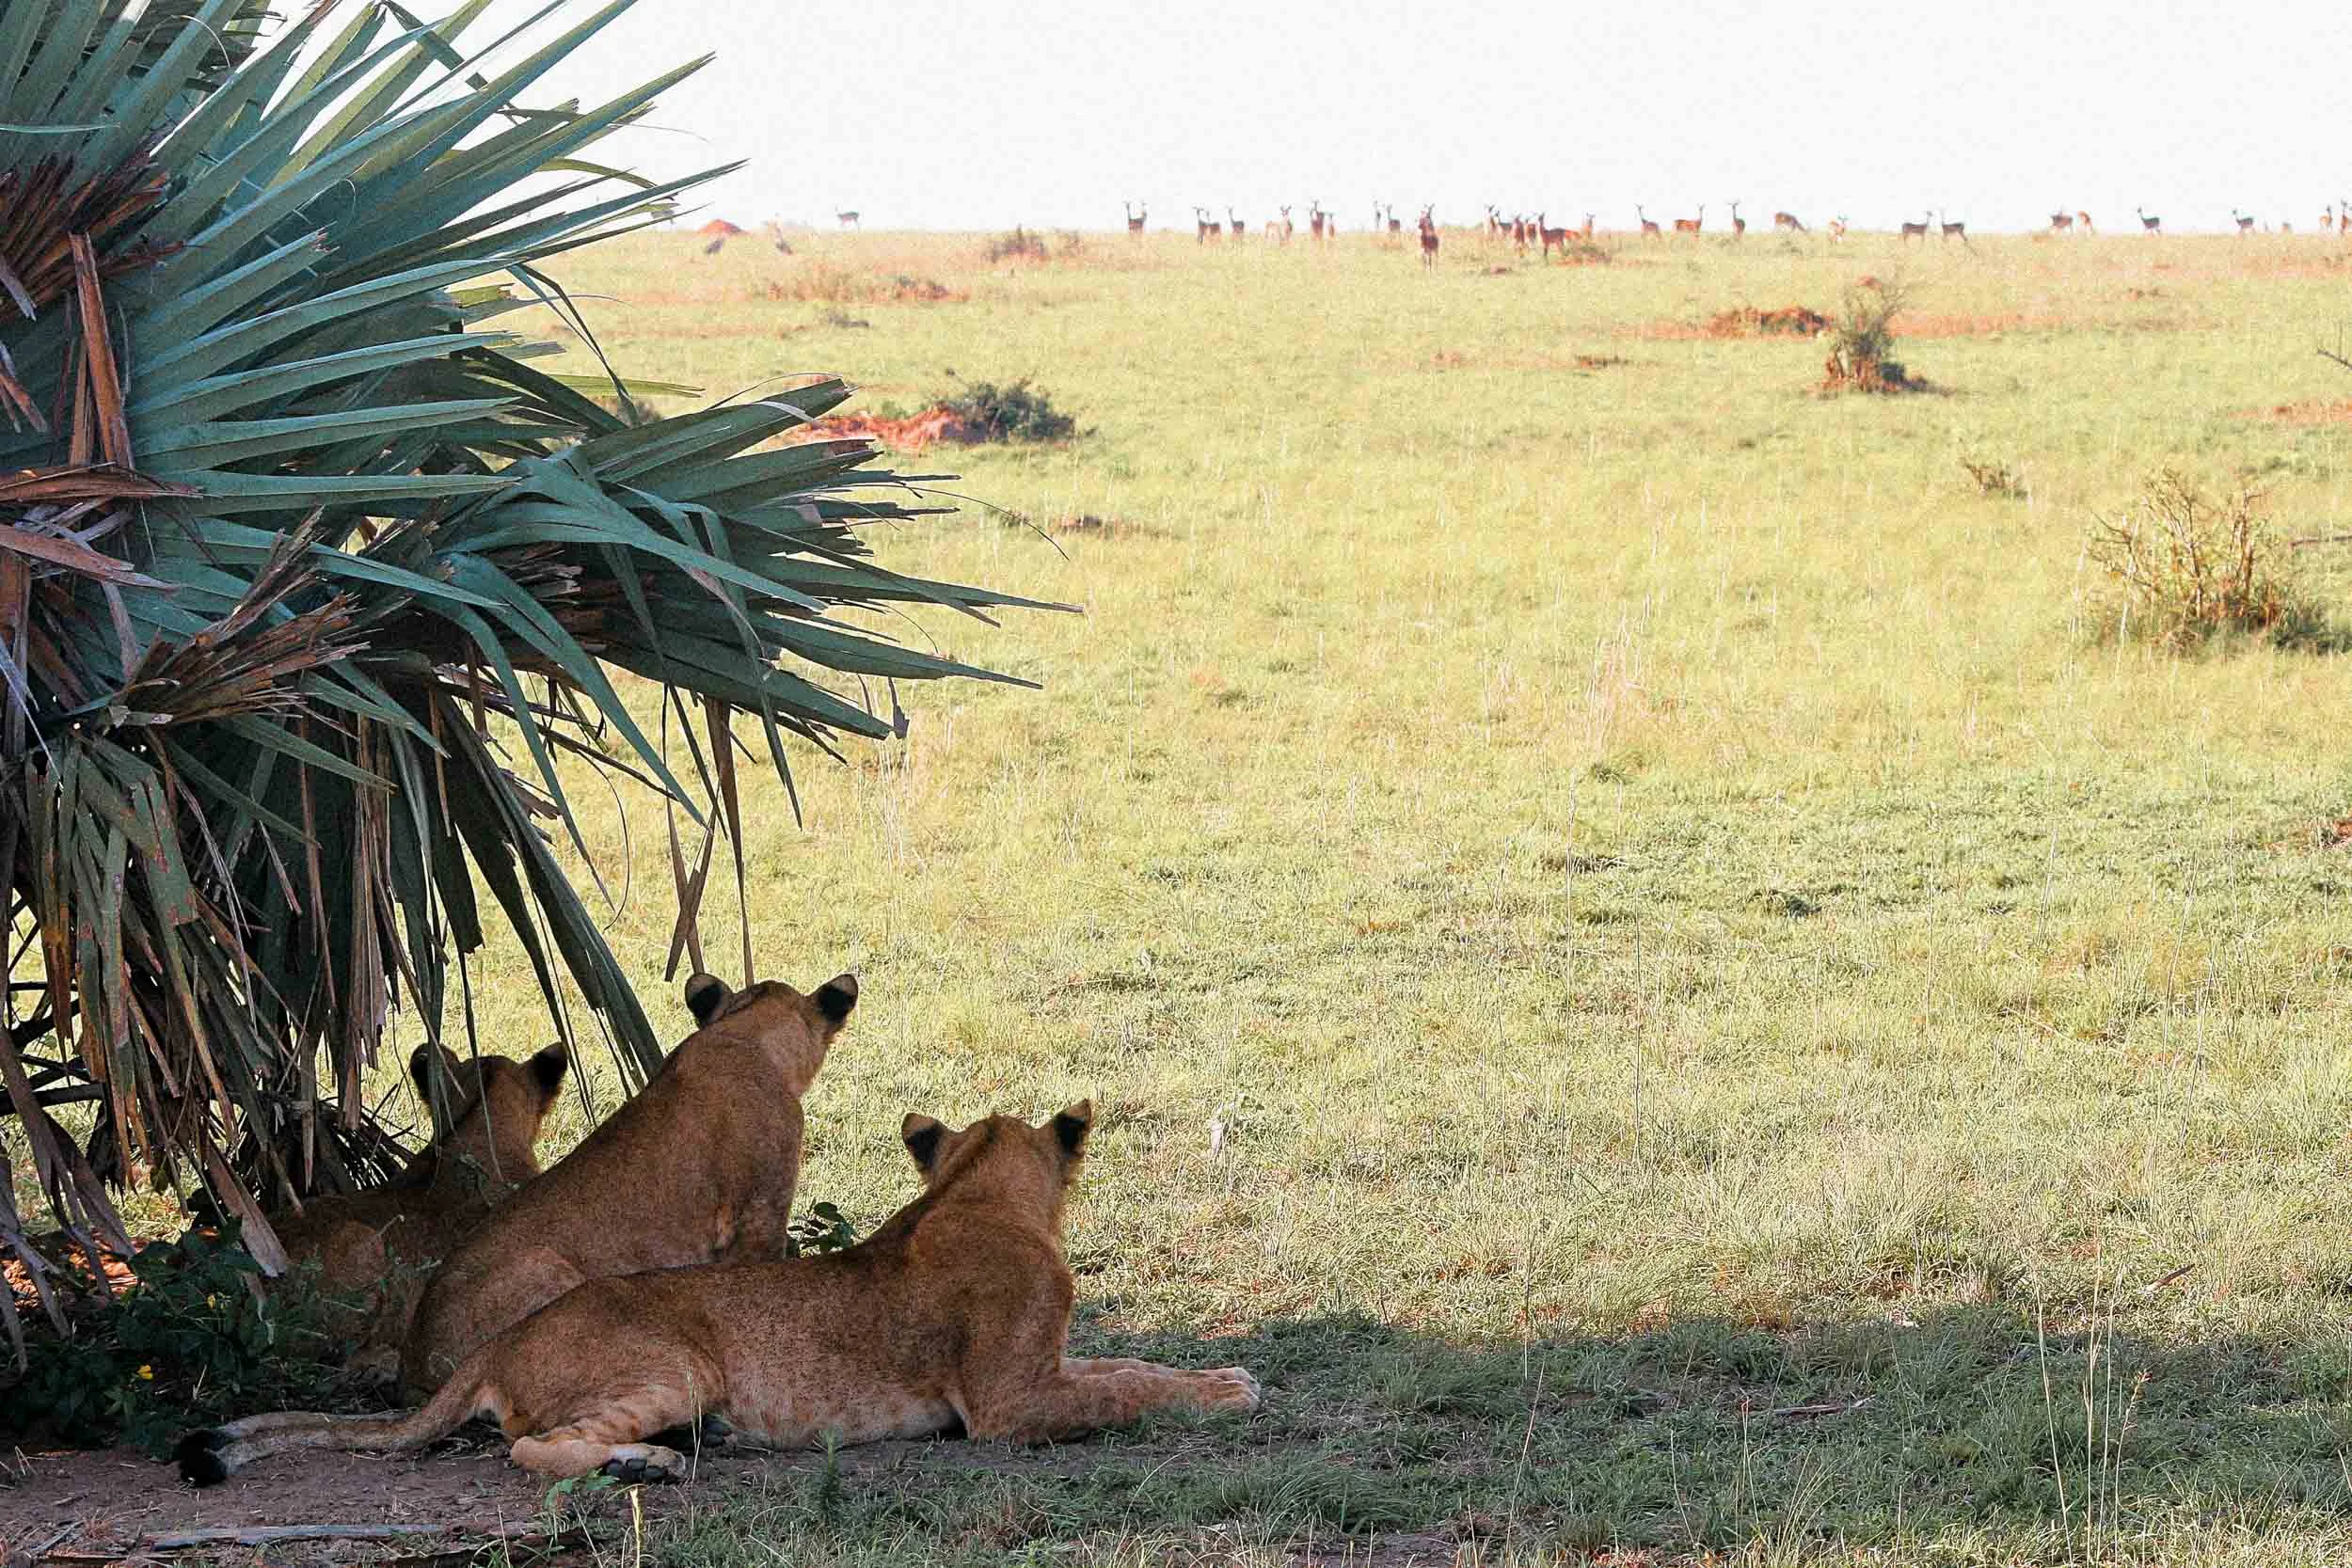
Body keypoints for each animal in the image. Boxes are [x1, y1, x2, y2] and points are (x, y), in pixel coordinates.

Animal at [178, 1101, 1260, 1484]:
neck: (973, 1193)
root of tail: (498, 1340)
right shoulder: (1006, 1405)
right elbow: (1126, 1390)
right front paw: (1230, 1394)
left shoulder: (1048, 1365)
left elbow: (1126, 1359)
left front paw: (1226, 1375)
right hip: (674, 1362)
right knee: (534, 1447)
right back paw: (653, 1463)